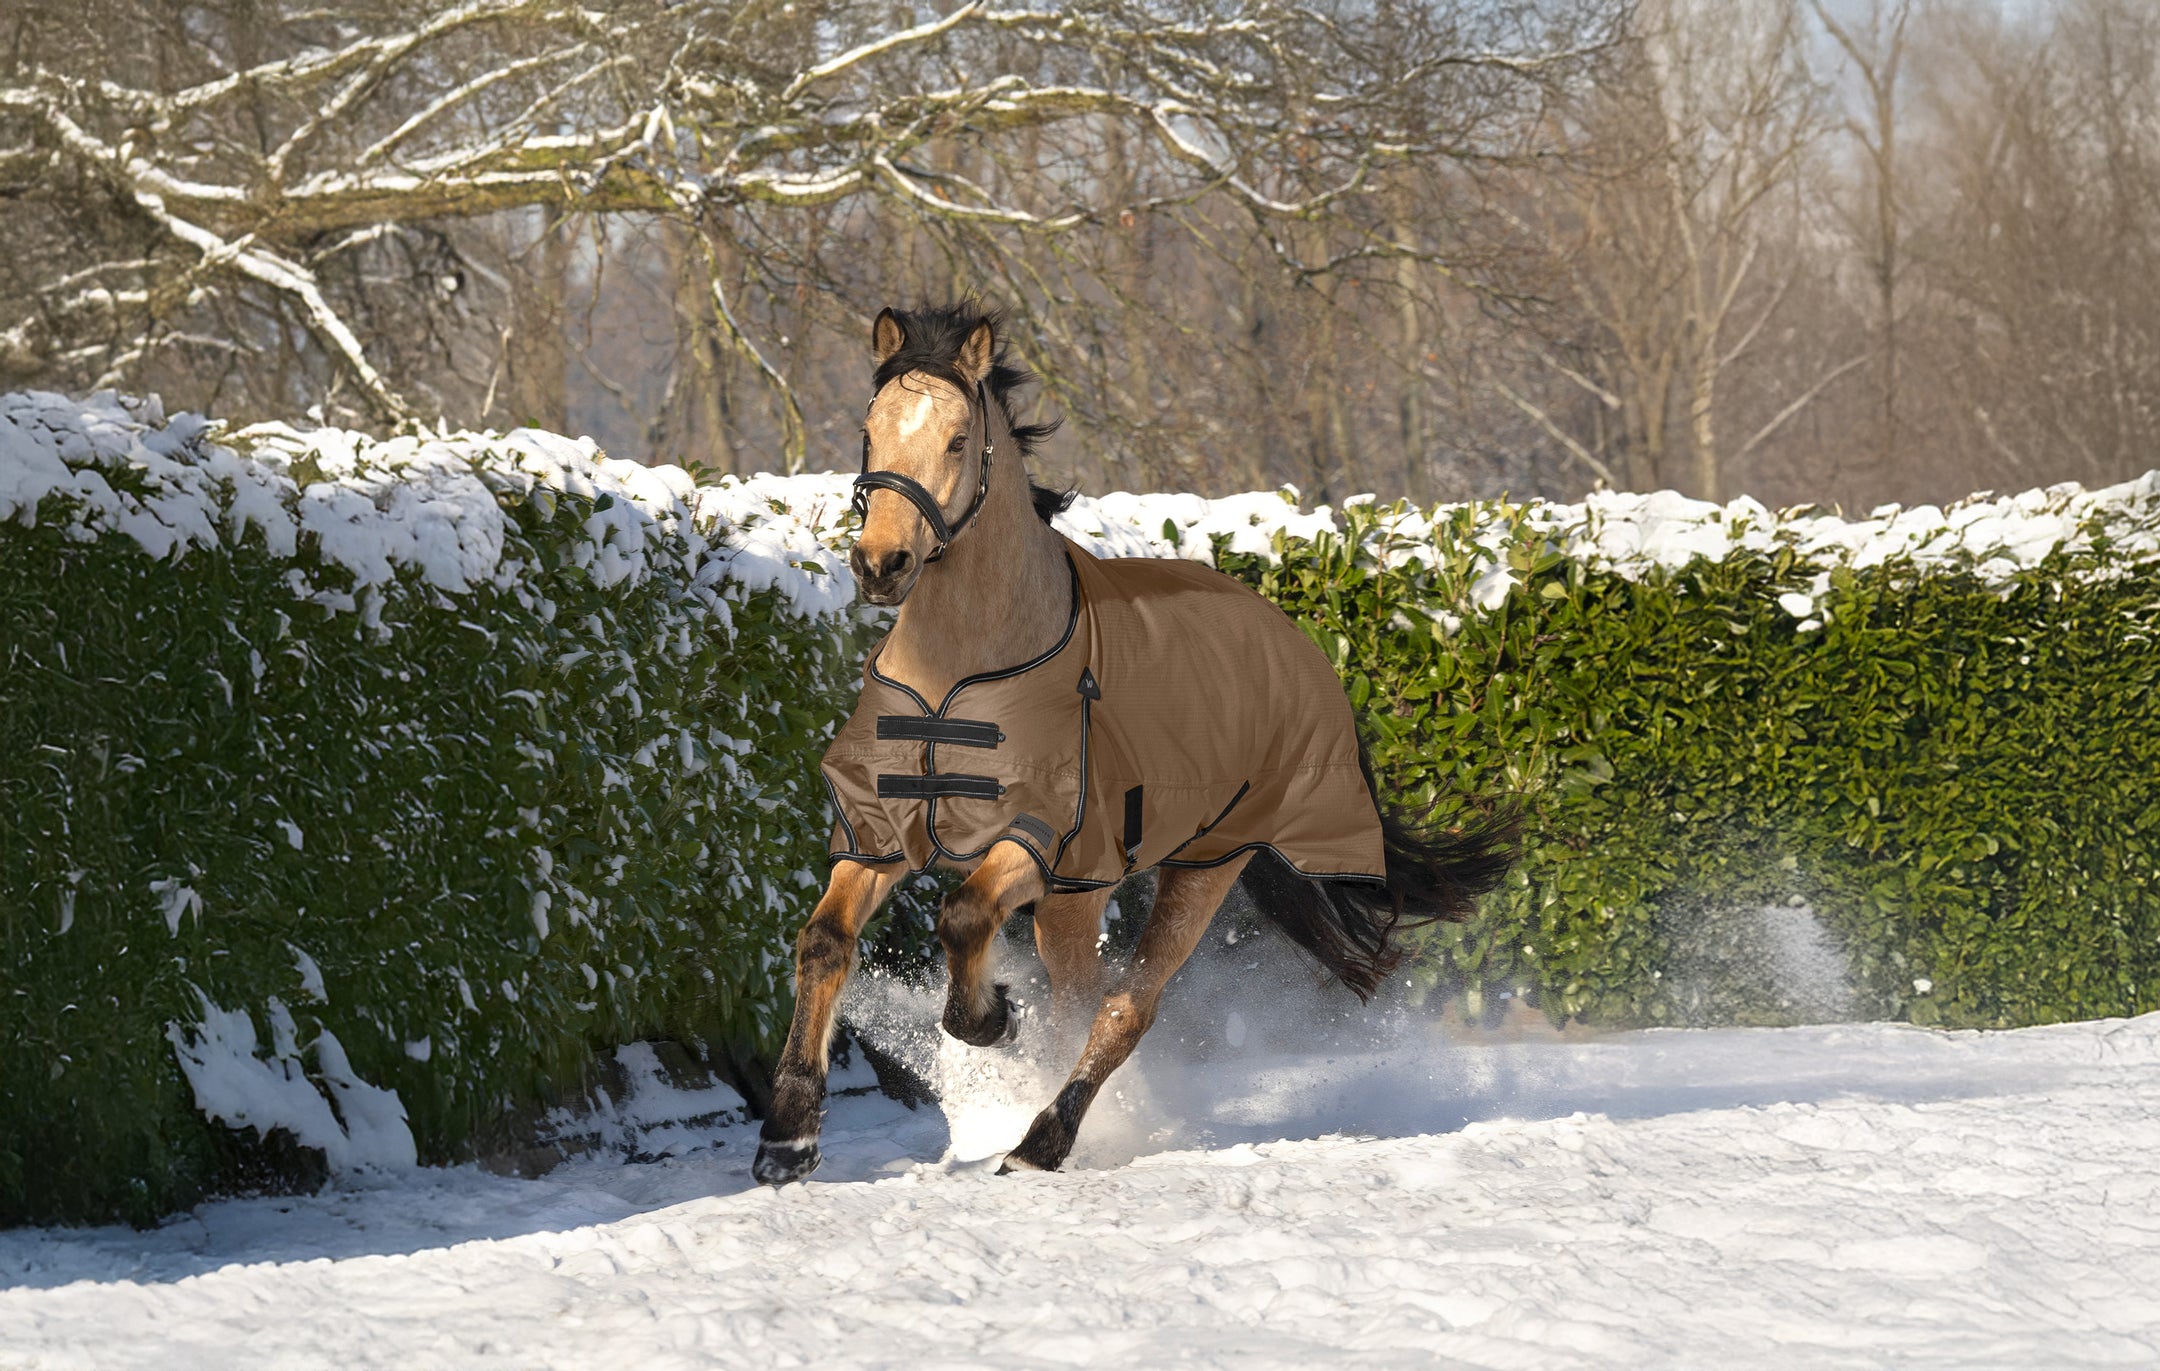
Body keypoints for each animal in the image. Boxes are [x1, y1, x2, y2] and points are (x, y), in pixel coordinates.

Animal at [756, 306, 1520, 1183]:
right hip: (1078, 897)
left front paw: (991, 1019)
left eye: (956, 439)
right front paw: (787, 1136)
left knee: (1123, 1007)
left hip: (1199, 866)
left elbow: (964, 914)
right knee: (1082, 996)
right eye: (869, 431)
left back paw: (1041, 1139)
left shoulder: (1041, 835)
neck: (963, 667)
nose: (882, 563)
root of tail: (1294, 639)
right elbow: (824, 941)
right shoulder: (881, 831)